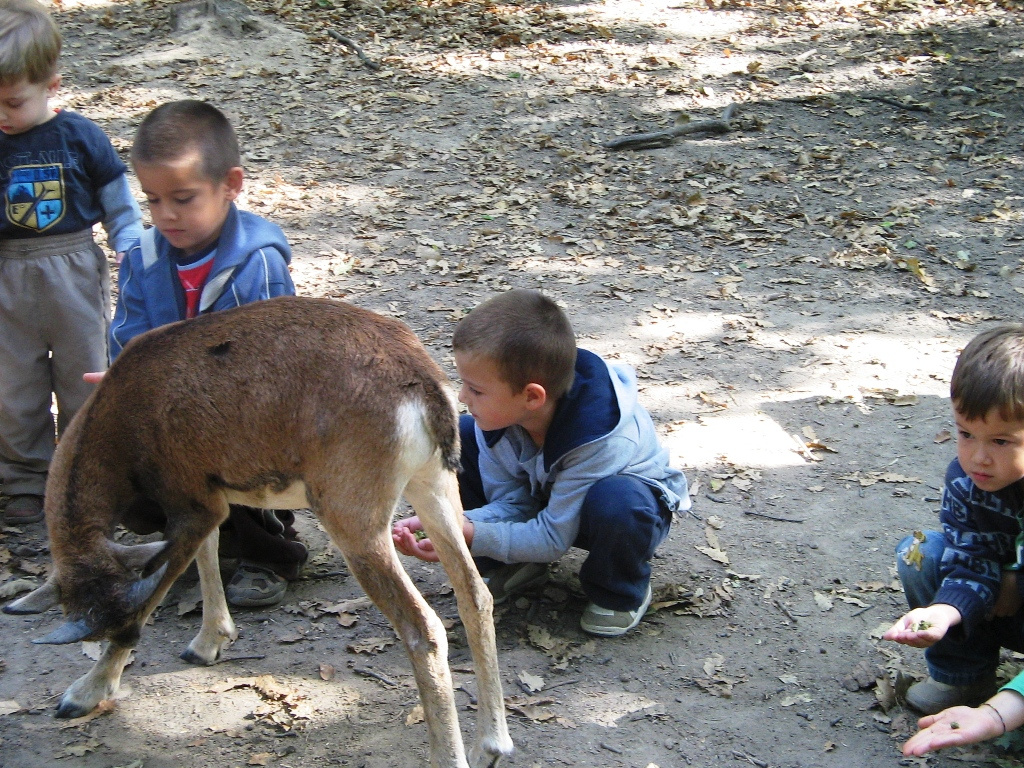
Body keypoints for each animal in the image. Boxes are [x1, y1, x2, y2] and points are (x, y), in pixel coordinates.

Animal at [0, 296, 512, 768]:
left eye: (108, 620)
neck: (124, 418)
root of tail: (424, 386)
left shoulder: (189, 499)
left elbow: (162, 581)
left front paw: (82, 694)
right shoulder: (211, 497)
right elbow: (206, 554)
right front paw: (206, 644)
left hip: (354, 515)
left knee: (422, 627)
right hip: (434, 488)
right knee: (474, 593)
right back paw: (492, 744)